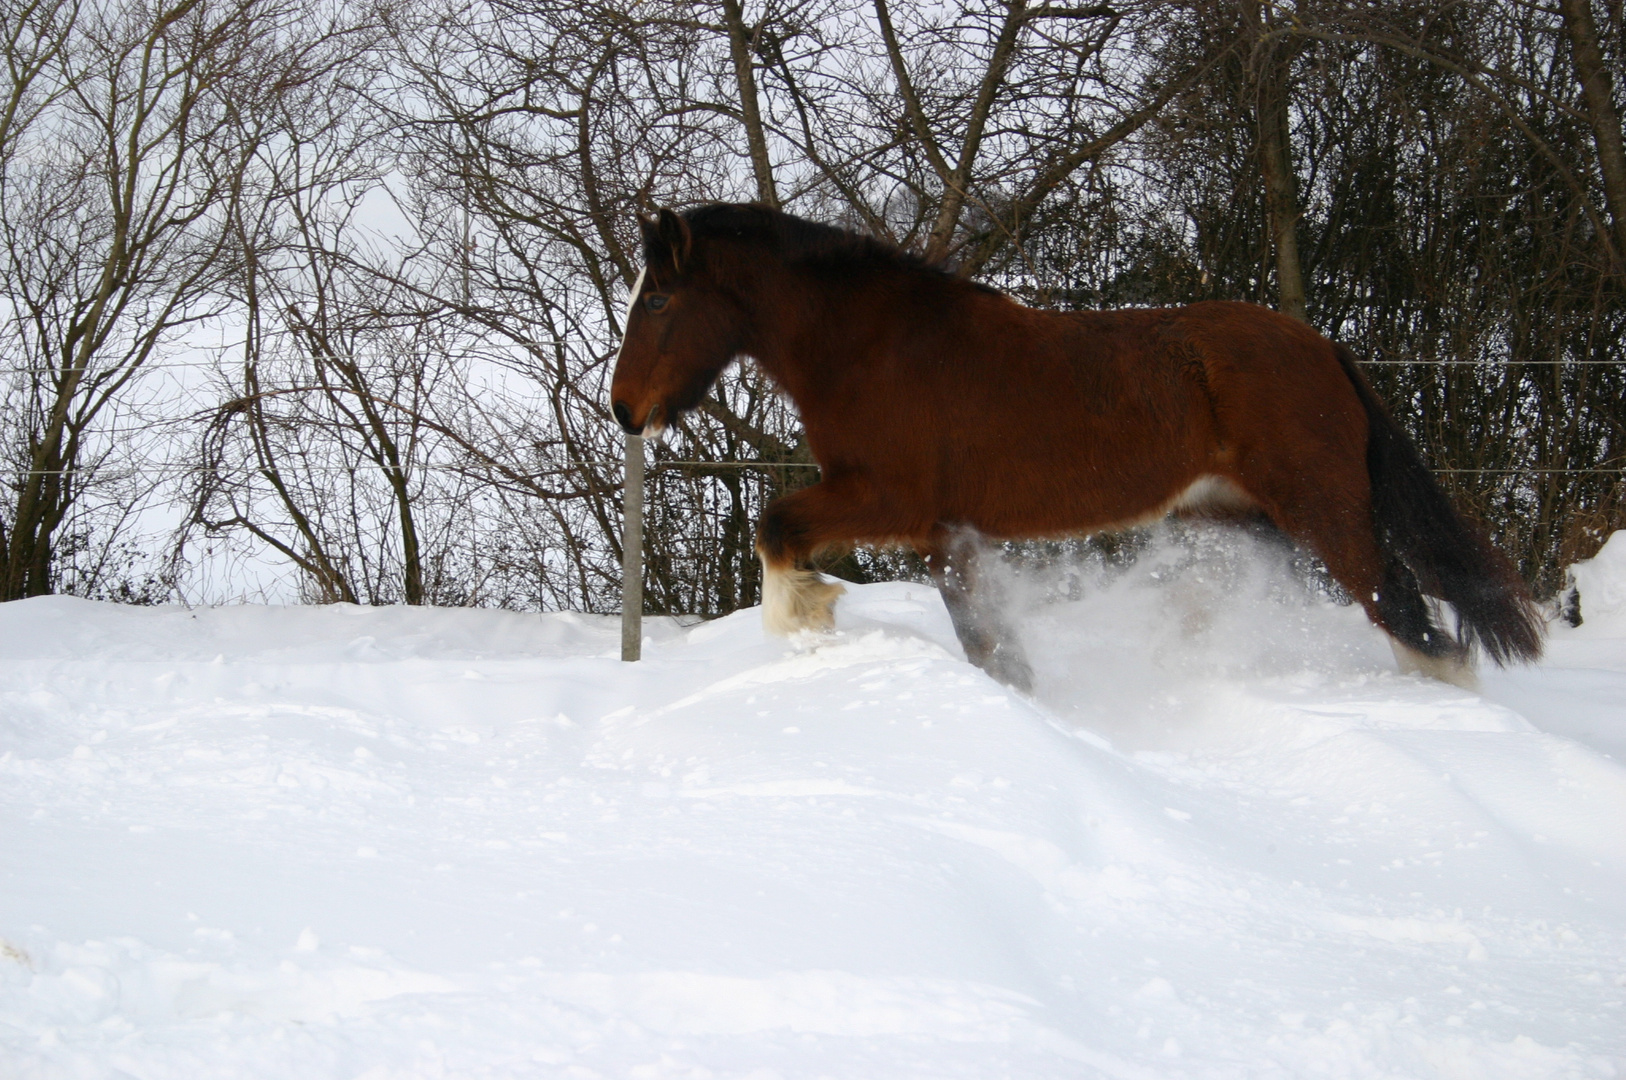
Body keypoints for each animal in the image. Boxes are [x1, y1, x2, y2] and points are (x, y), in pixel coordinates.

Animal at [608, 206, 1534, 686]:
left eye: (657, 299)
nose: (625, 411)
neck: (874, 347)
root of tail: (1323, 348)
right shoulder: (943, 534)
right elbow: (990, 646)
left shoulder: (887, 499)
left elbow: (776, 528)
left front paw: (806, 616)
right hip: (1244, 518)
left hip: (1324, 510)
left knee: (1407, 610)